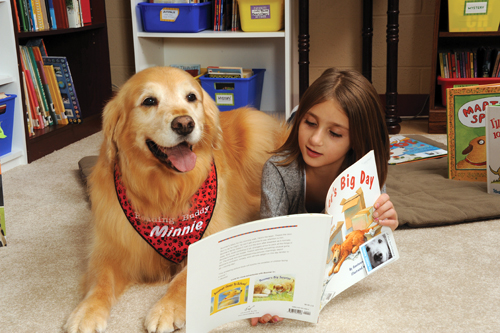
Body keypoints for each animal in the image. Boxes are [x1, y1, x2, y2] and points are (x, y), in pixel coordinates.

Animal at [65, 66, 286, 330]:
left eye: (191, 97)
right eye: (149, 101)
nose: (184, 124)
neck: (166, 191)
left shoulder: (210, 237)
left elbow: (183, 279)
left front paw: (166, 309)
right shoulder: (111, 247)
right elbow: (100, 281)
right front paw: (86, 312)